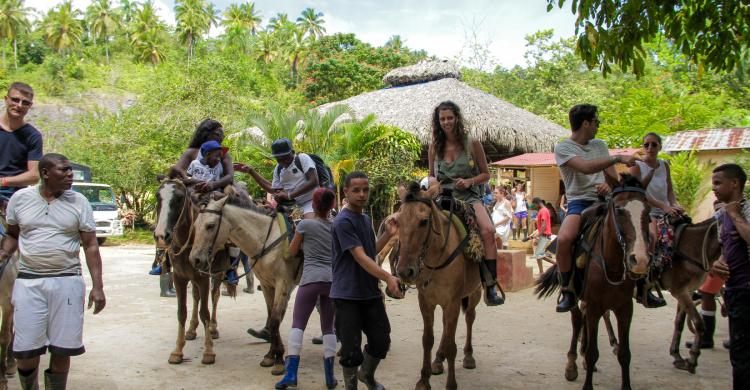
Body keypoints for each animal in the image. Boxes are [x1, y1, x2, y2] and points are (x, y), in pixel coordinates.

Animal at [188, 187, 302, 376]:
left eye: (210, 225)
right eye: (195, 226)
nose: (195, 260)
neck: (266, 239)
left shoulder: (283, 283)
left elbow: (275, 319)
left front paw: (279, 360)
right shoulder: (267, 284)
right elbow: (272, 317)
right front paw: (270, 356)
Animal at [394, 182, 482, 390]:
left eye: (424, 221)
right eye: (397, 222)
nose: (405, 271)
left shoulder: (453, 303)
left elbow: (451, 346)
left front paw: (451, 384)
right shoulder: (426, 302)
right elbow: (428, 339)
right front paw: (424, 380)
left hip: (474, 293)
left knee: (470, 318)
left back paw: (468, 356)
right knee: (445, 327)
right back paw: (438, 360)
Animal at [536, 177, 656, 390]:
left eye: (648, 210)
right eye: (618, 209)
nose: (640, 260)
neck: (612, 265)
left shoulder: (625, 308)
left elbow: (625, 354)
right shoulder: (595, 306)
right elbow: (593, 352)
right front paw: (586, 378)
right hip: (575, 296)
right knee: (577, 320)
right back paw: (572, 364)